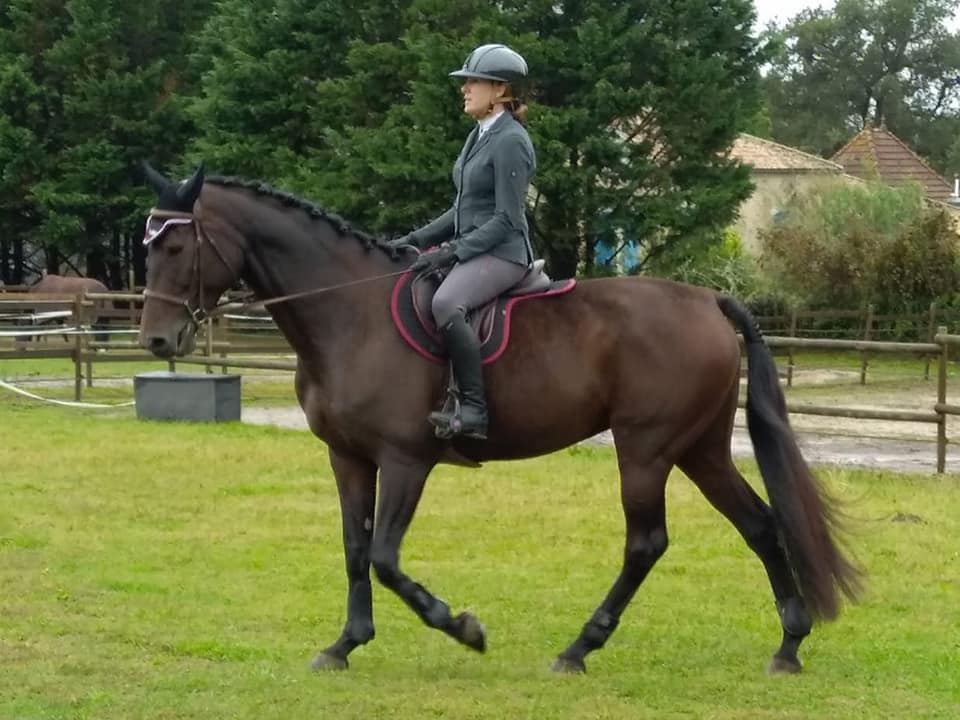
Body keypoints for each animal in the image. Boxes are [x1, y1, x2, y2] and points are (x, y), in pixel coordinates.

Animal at [137, 163, 864, 676]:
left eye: (175, 248)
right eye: (147, 249)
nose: (156, 341)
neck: (348, 314)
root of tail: (710, 301)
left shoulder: (406, 459)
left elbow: (385, 558)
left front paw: (462, 627)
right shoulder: (348, 457)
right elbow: (354, 550)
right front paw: (344, 644)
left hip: (646, 449)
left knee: (646, 543)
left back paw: (579, 648)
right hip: (699, 448)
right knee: (760, 524)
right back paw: (788, 645)